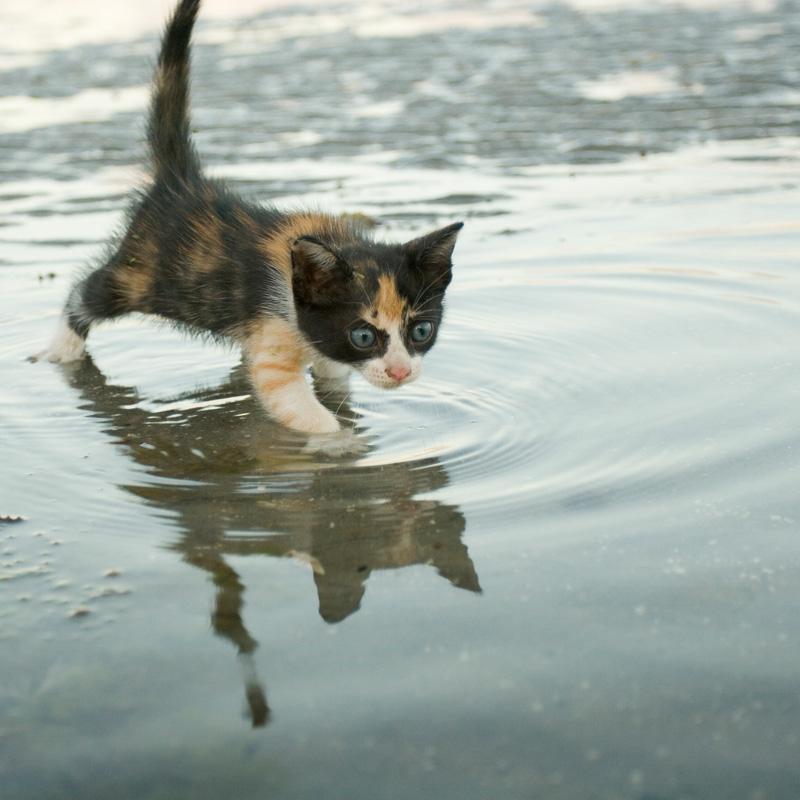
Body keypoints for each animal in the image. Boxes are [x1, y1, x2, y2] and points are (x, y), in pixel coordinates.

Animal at [32, 0, 462, 438]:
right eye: (363, 336)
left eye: (421, 331)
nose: (400, 372)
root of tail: (180, 179)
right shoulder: (273, 324)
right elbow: (294, 401)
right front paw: (335, 442)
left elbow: (331, 377)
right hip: (143, 275)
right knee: (87, 293)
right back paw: (62, 349)